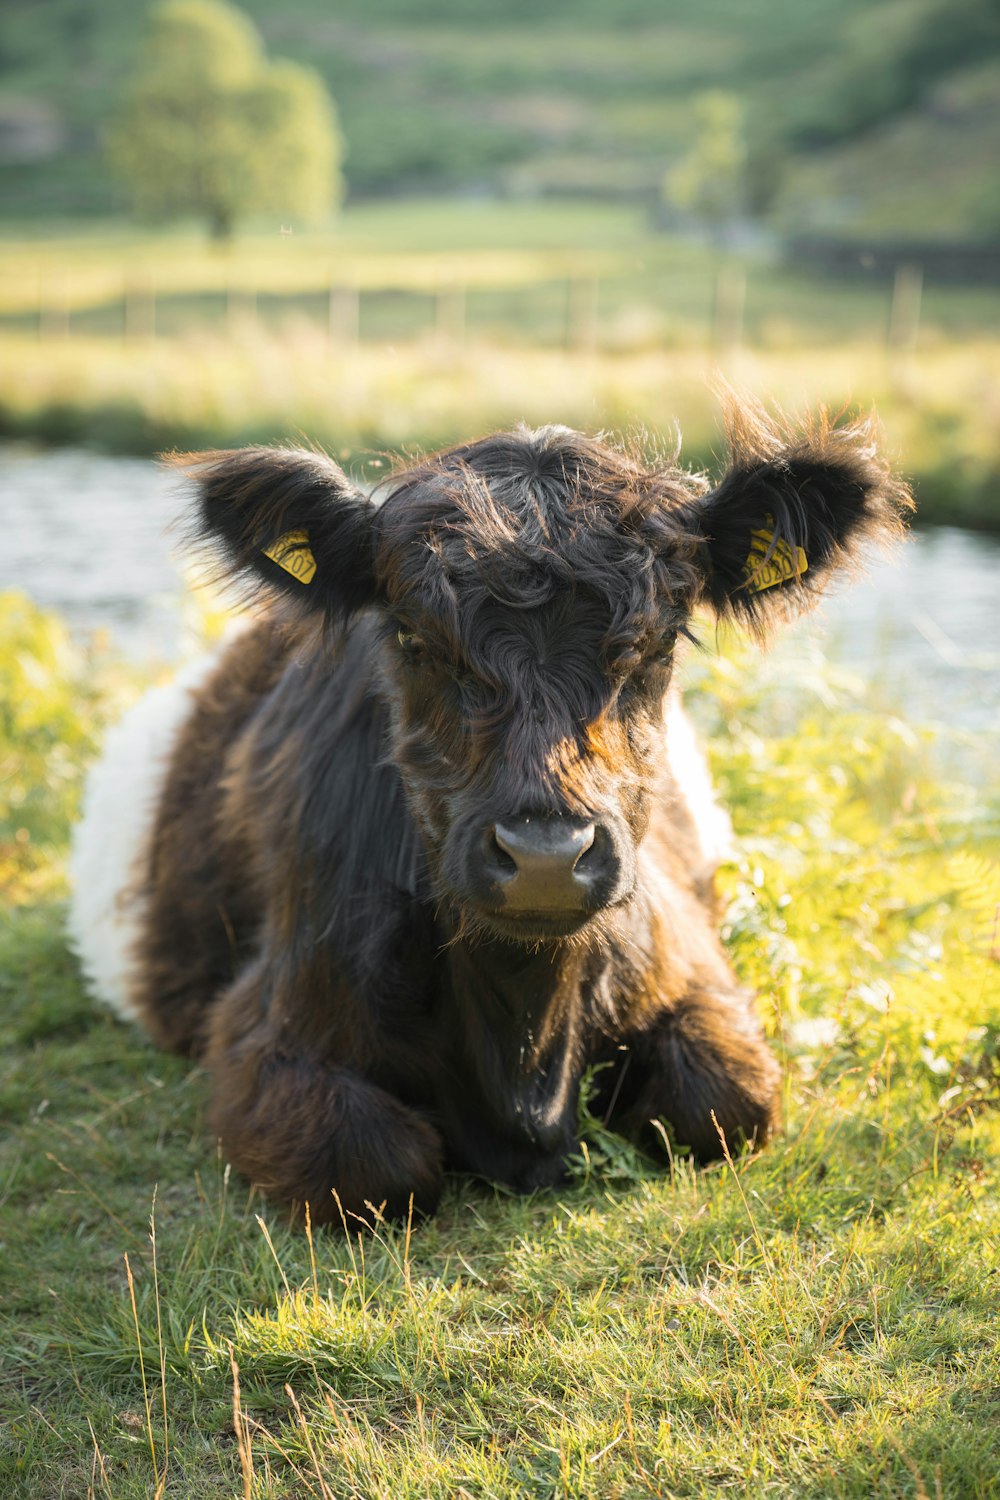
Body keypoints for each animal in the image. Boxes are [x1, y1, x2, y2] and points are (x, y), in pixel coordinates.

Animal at [68, 405, 917, 1224]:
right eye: (411, 637)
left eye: (657, 643)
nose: (546, 857)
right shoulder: (270, 1031)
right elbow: (372, 1165)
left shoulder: (696, 973)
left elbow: (723, 1102)